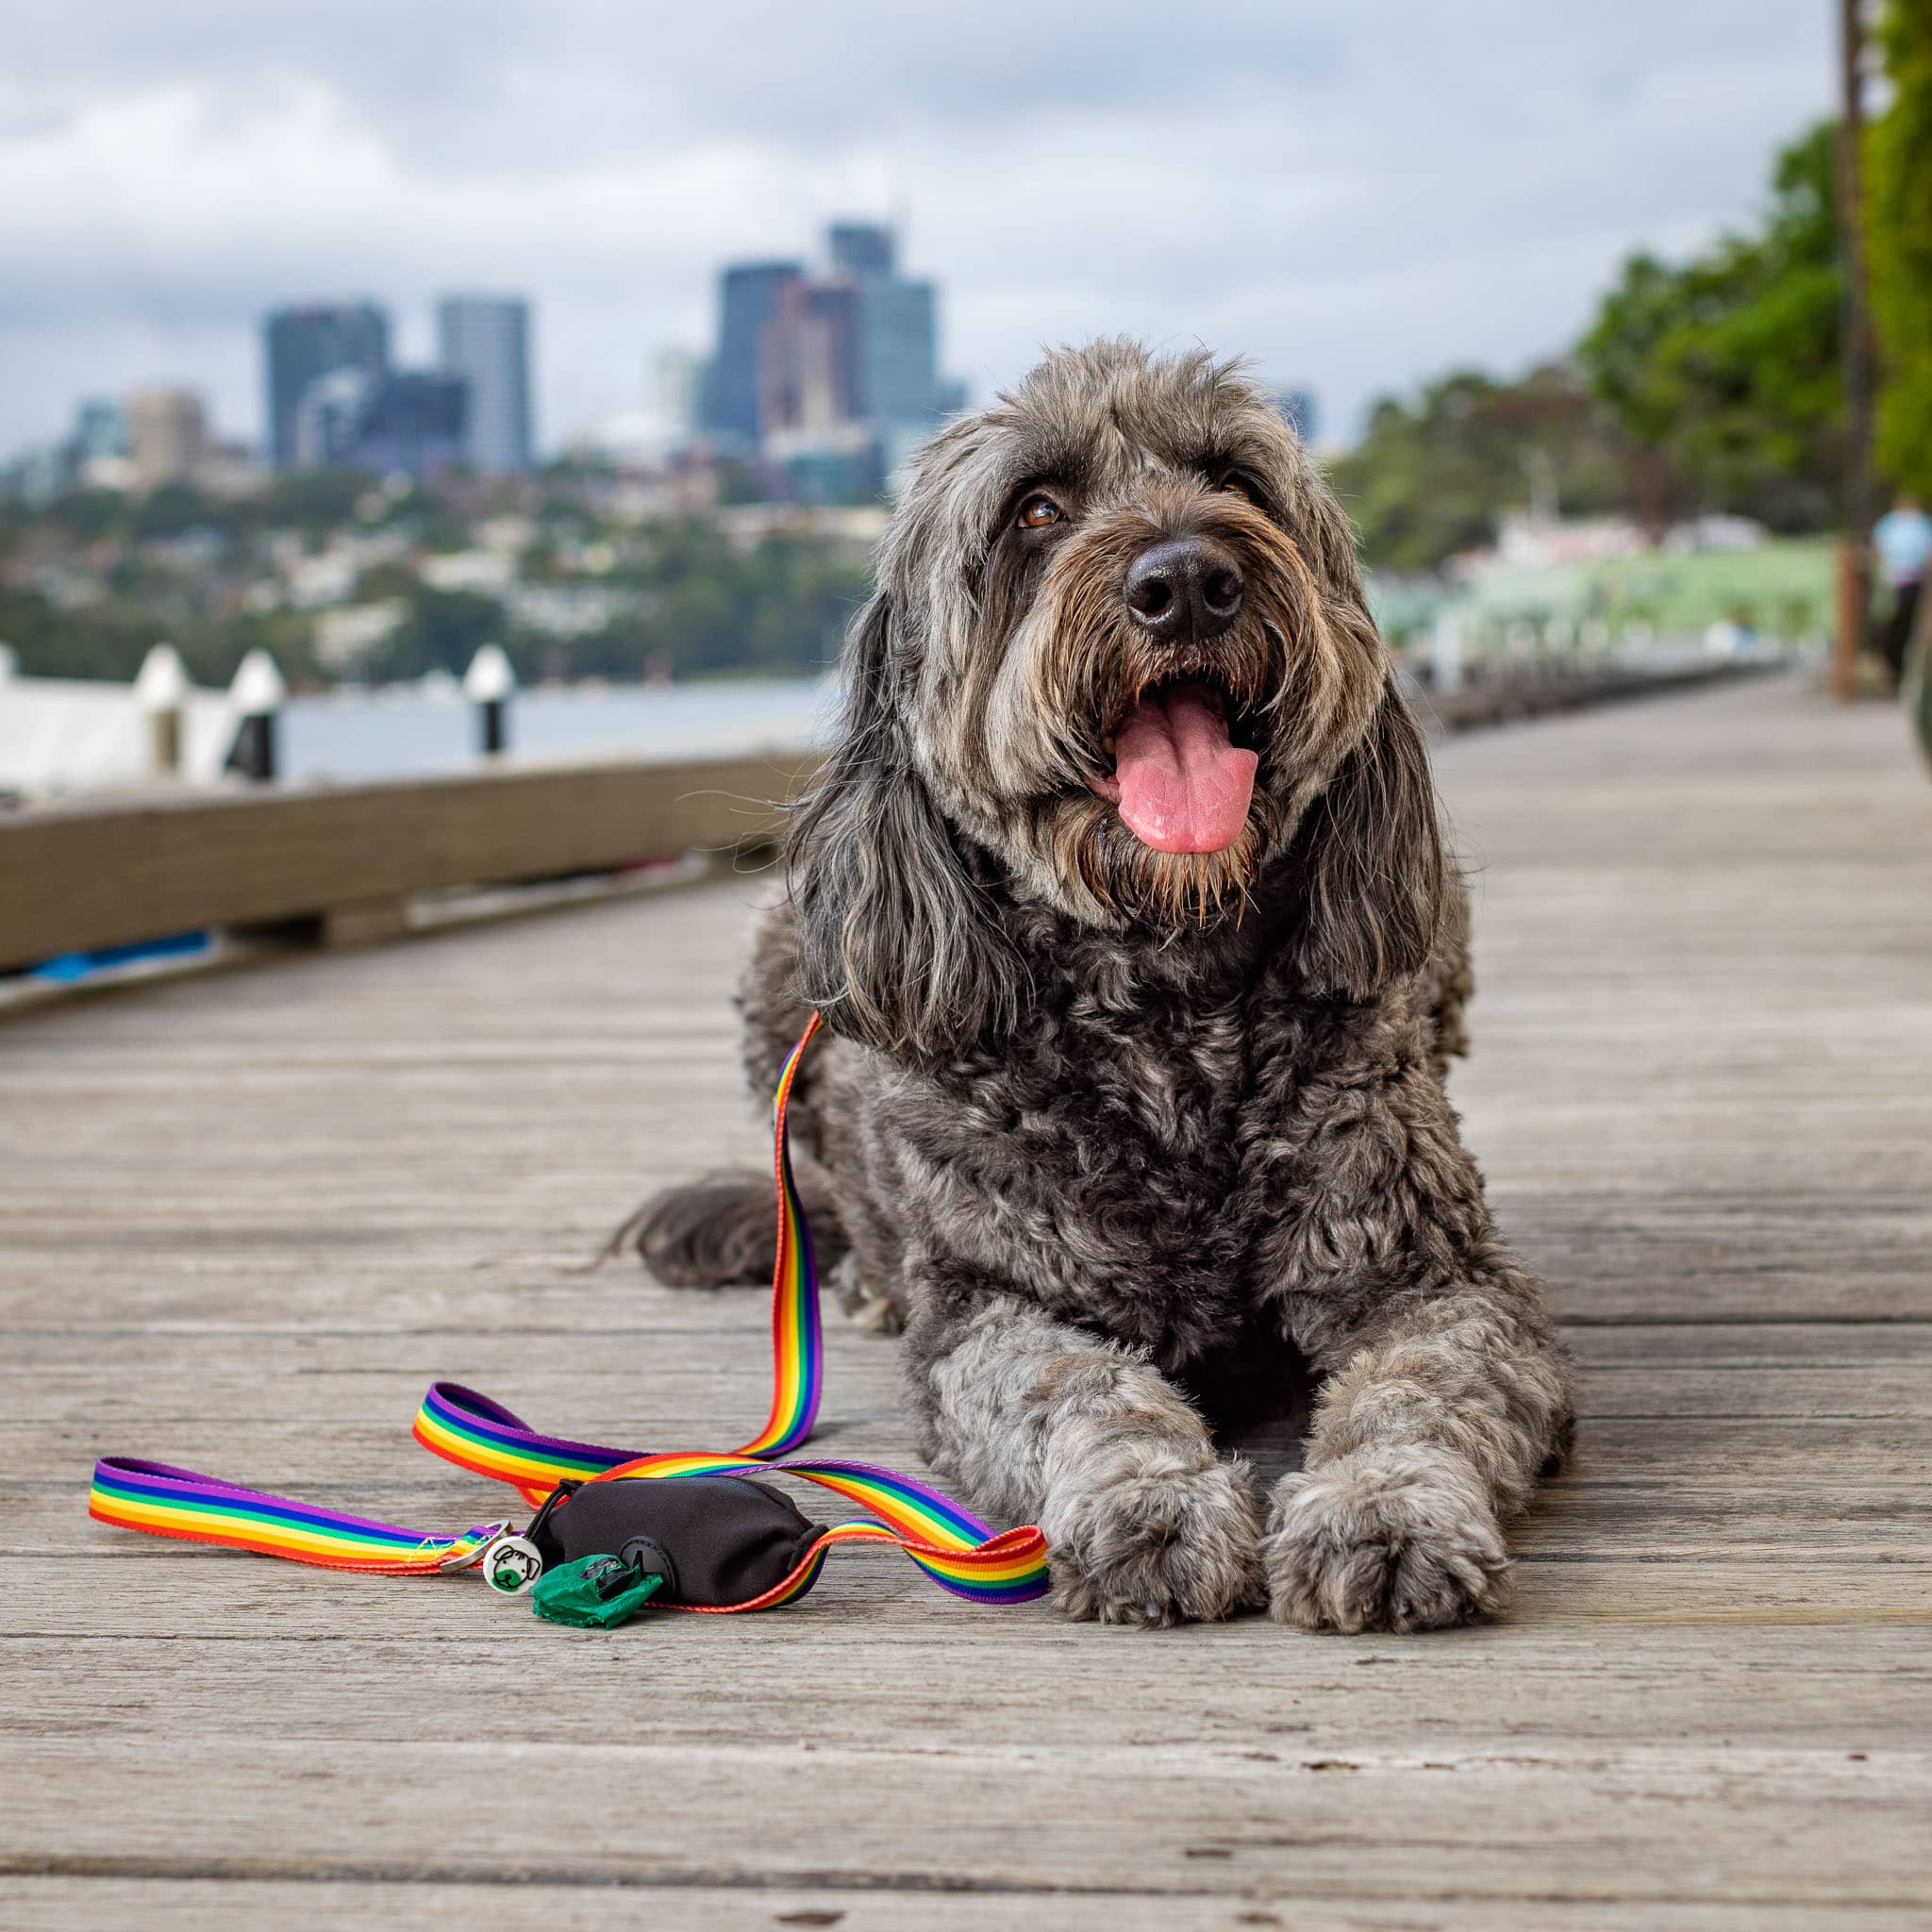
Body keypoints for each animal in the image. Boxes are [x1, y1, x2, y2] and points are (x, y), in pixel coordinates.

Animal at [633, 343, 1568, 1630]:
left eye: (1235, 479)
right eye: (1035, 510)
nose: (1187, 580)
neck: (1168, 1006)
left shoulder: (1428, 1274)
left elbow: (1418, 1385)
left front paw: (1383, 1509)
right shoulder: (993, 1302)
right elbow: (1078, 1385)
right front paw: (1149, 1501)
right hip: (781, 958)